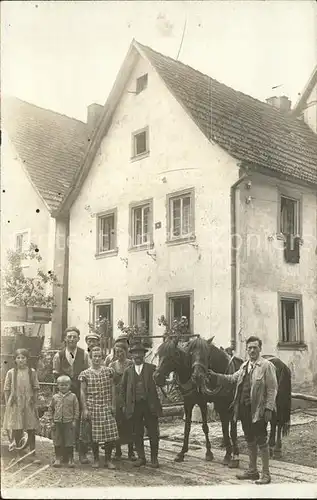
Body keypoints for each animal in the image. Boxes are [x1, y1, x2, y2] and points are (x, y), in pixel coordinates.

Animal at [152, 336, 239, 464]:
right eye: (158, 354)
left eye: (173, 355)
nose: (157, 377)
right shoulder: (188, 402)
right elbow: (187, 427)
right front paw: (182, 453)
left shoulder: (203, 402)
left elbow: (206, 427)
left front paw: (210, 453)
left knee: (230, 425)